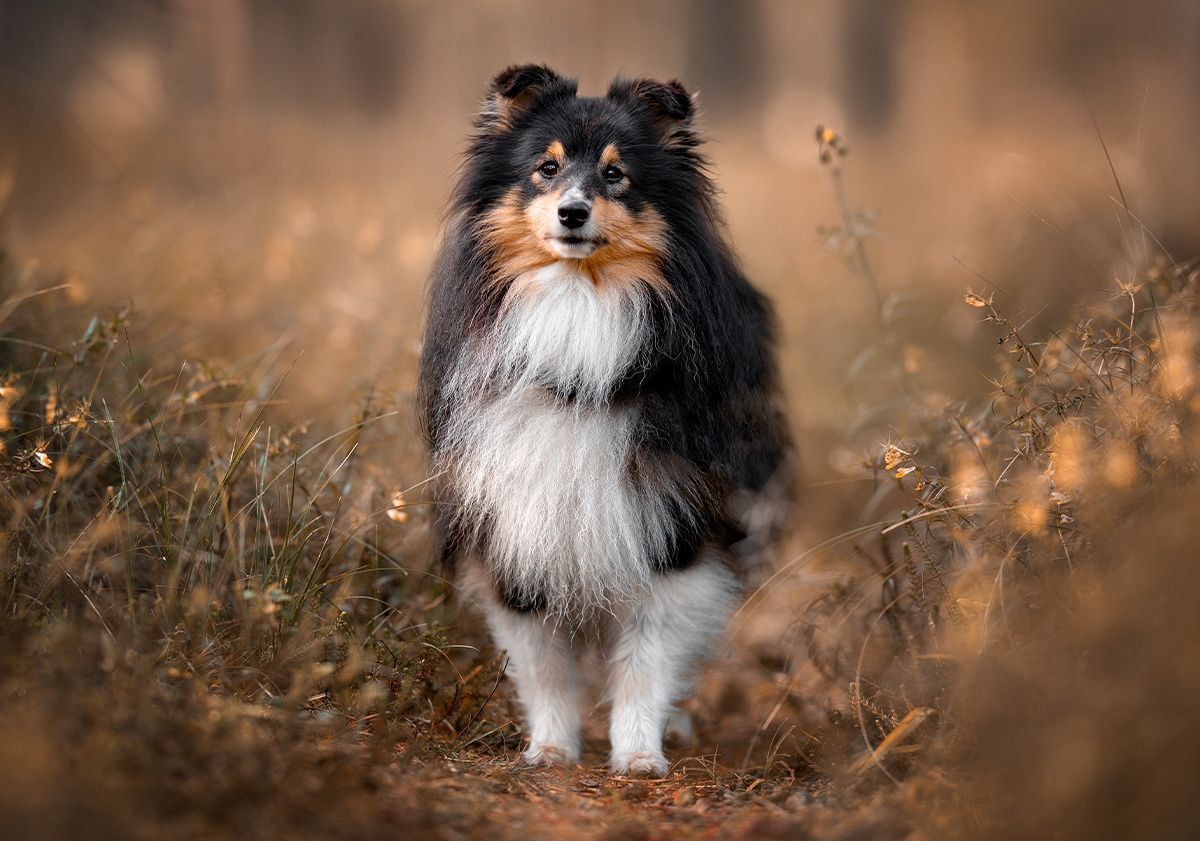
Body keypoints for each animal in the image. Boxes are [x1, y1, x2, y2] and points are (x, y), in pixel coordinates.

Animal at [420, 65, 787, 772]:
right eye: (546, 168)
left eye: (616, 175)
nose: (573, 212)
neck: (578, 308)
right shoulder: (516, 518)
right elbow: (542, 662)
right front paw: (549, 749)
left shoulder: (669, 523)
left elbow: (649, 657)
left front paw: (640, 755)